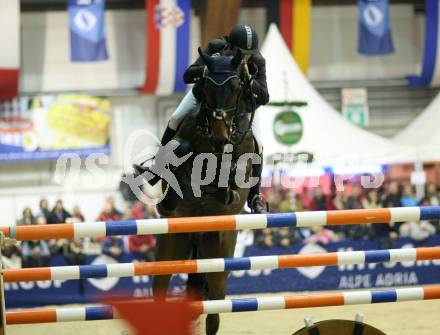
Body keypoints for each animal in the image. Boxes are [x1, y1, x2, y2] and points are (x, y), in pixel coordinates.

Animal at [151, 50, 256, 335]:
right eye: (207, 86)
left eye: (236, 87)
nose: (220, 140)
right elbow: (180, 150)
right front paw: (170, 197)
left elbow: (232, 174)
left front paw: (225, 190)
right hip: (170, 247)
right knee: (159, 291)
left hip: (219, 259)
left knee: (214, 313)